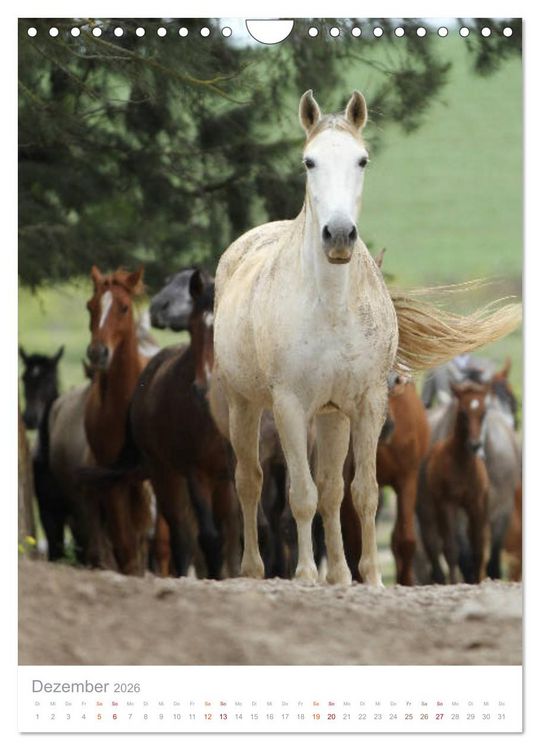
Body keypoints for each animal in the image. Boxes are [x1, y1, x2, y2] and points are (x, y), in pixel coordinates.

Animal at [211, 89, 520, 586]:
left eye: (362, 160)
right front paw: (305, 576)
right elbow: (301, 494)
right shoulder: (290, 406)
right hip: (245, 405)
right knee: (250, 480)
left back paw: (339, 575)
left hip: (332, 417)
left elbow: (361, 494)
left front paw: (370, 577)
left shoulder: (367, 403)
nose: (339, 235)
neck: (332, 307)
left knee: (332, 489)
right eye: (309, 161)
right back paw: (254, 570)